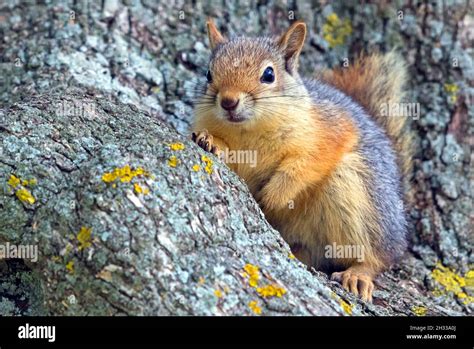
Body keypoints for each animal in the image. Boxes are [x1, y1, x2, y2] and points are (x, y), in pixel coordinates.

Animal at [192, 19, 412, 302]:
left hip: (361, 195)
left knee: (381, 254)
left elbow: (305, 164)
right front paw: (210, 141)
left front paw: (274, 196)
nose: (229, 101)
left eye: (269, 74)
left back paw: (359, 273)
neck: (248, 131)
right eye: (208, 74)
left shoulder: (331, 127)